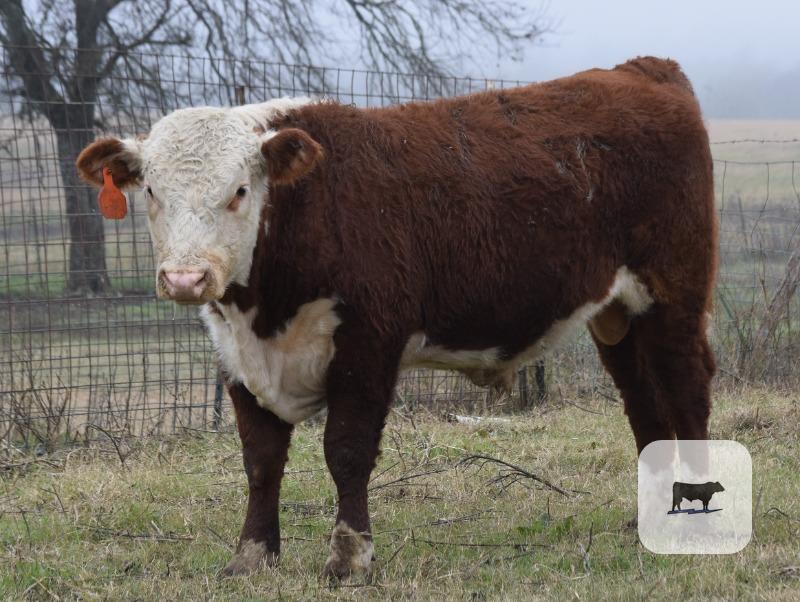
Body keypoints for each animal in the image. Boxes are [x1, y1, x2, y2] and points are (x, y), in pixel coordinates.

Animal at [76, 56, 717, 578]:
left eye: (238, 191)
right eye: (151, 191)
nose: (186, 278)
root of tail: (640, 70)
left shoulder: (369, 342)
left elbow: (346, 451)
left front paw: (349, 558)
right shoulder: (236, 356)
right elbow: (260, 459)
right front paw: (250, 557)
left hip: (674, 291)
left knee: (686, 387)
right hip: (617, 314)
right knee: (642, 399)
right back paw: (648, 518)